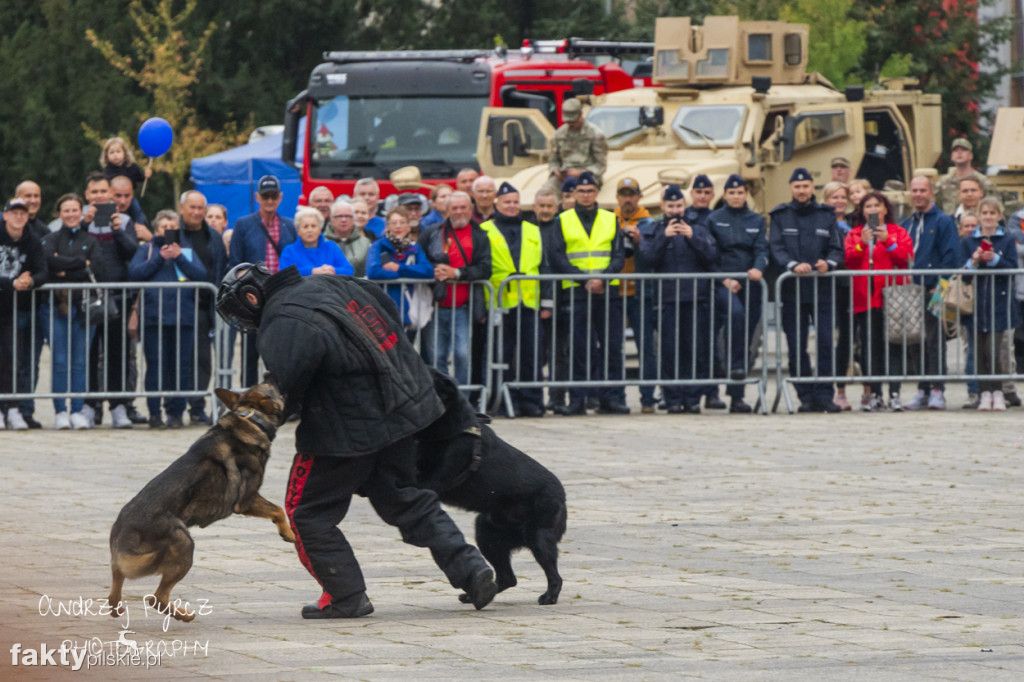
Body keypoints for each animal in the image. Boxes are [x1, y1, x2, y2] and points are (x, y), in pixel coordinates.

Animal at [107, 374, 292, 618]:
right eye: (271, 388)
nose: (269, 373)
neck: (250, 418)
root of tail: (124, 532)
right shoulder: (246, 500)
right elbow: (278, 510)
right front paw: (290, 533)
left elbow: (277, 510)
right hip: (185, 544)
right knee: (157, 598)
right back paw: (185, 616)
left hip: (127, 563)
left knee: (117, 586)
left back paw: (118, 607)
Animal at [413, 368, 569, 602]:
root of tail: (562, 495)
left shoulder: (436, 479)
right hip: (486, 534)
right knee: (507, 578)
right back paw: (476, 595)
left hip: (539, 538)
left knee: (554, 575)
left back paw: (549, 596)